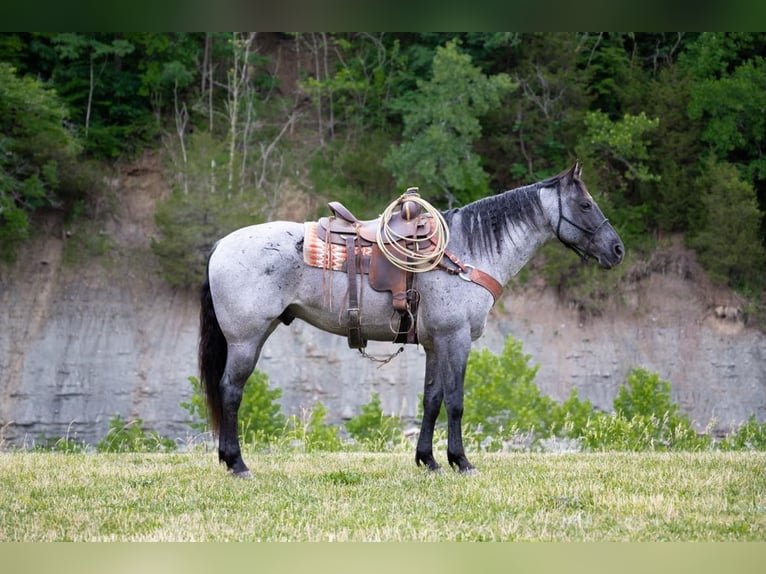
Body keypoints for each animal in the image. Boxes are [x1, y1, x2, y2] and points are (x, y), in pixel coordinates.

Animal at [198, 164, 624, 480]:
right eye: (585, 204)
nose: (617, 249)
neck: (465, 254)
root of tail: (220, 246)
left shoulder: (436, 343)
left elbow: (432, 400)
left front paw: (428, 460)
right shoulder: (456, 339)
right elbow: (456, 401)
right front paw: (461, 461)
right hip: (246, 339)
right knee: (231, 391)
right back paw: (237, 464)